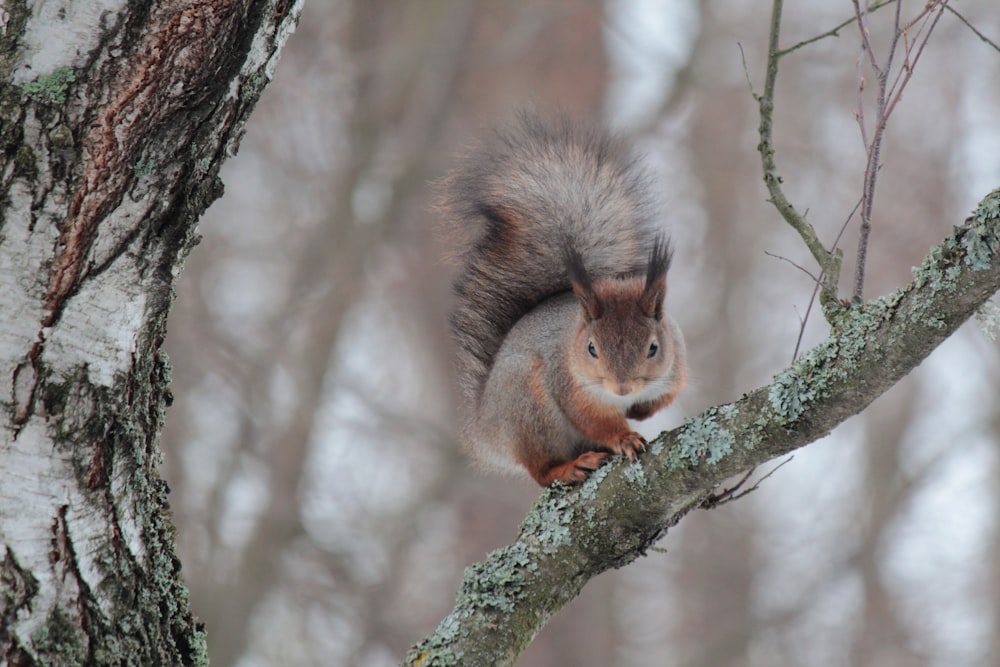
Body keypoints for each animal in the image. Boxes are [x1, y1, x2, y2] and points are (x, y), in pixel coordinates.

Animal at [446, 115, 688, 488]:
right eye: (591, 348)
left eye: (653, 348)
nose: (623, 389)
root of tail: (485, 430)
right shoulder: (571, 387)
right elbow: (594, 420)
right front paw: (624, 437)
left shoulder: (675, 365)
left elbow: (668, 395)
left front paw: (641, 411)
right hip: (529, 409)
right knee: (540, 470)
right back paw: (570, 467)